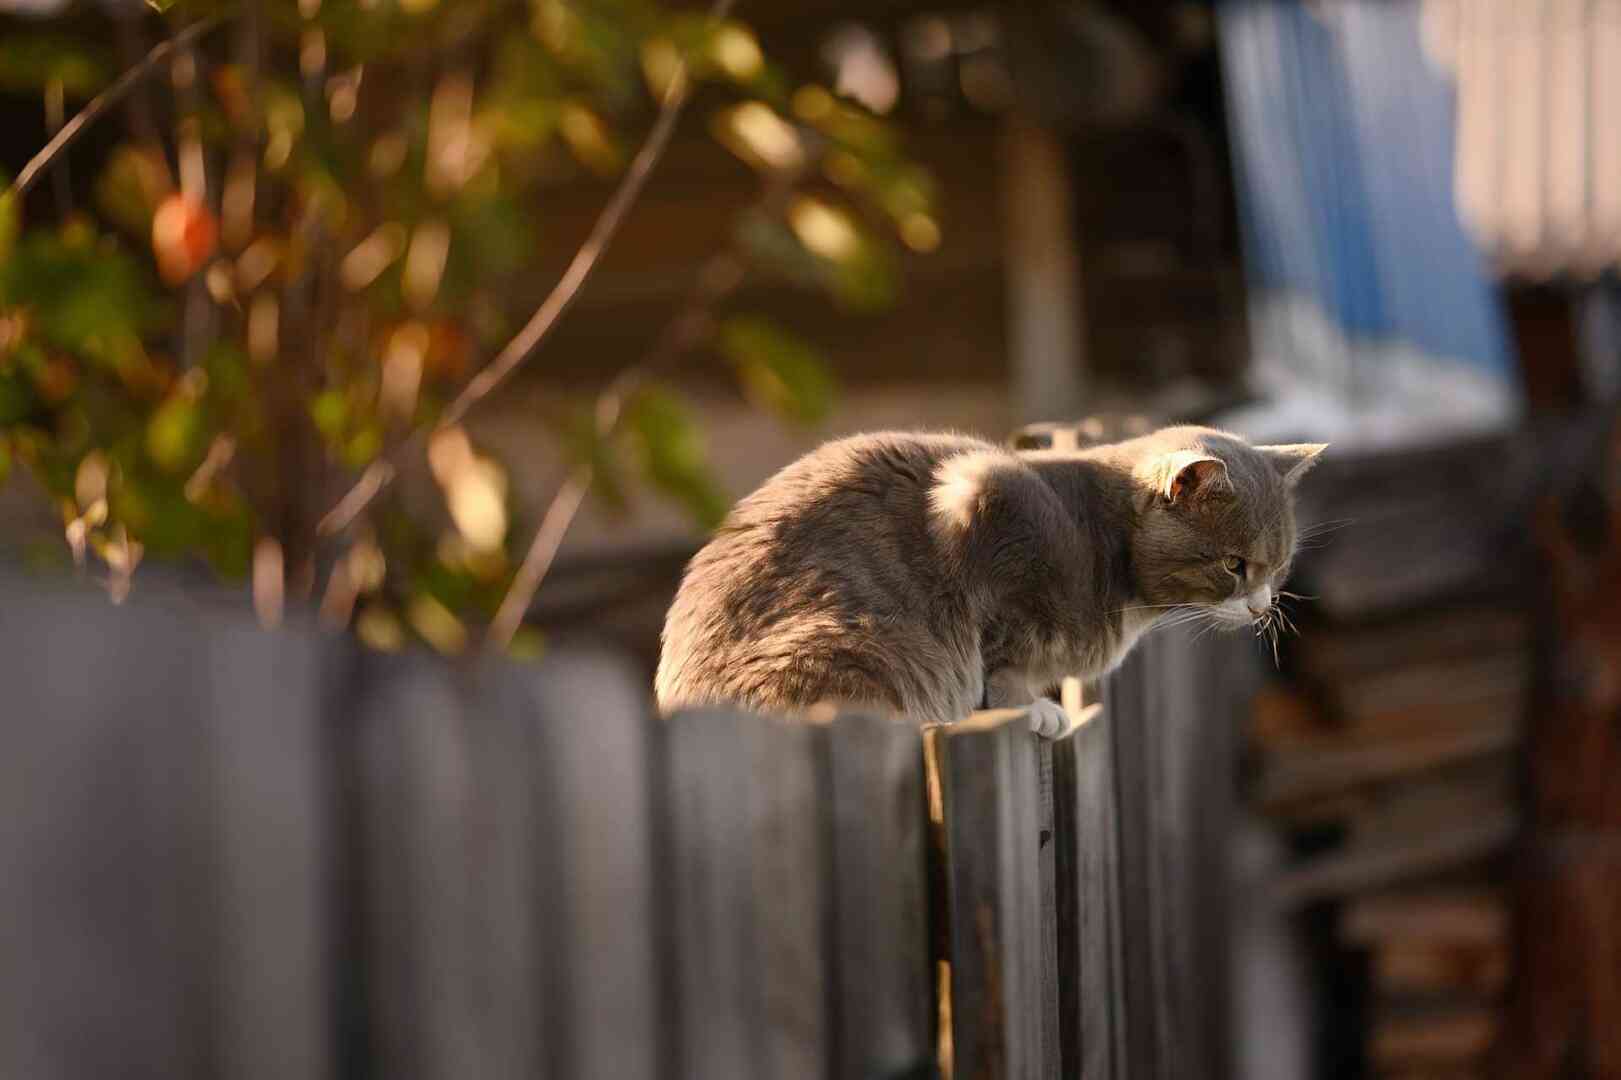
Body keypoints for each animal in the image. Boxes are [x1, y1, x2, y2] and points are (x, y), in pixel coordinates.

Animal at [651, 421, 1322, 732]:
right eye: (1234, 564)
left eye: (1279, 566)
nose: (1263, 606)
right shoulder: (981, 496)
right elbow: (1001, 655)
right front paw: (1031, 706)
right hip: (846, 643)